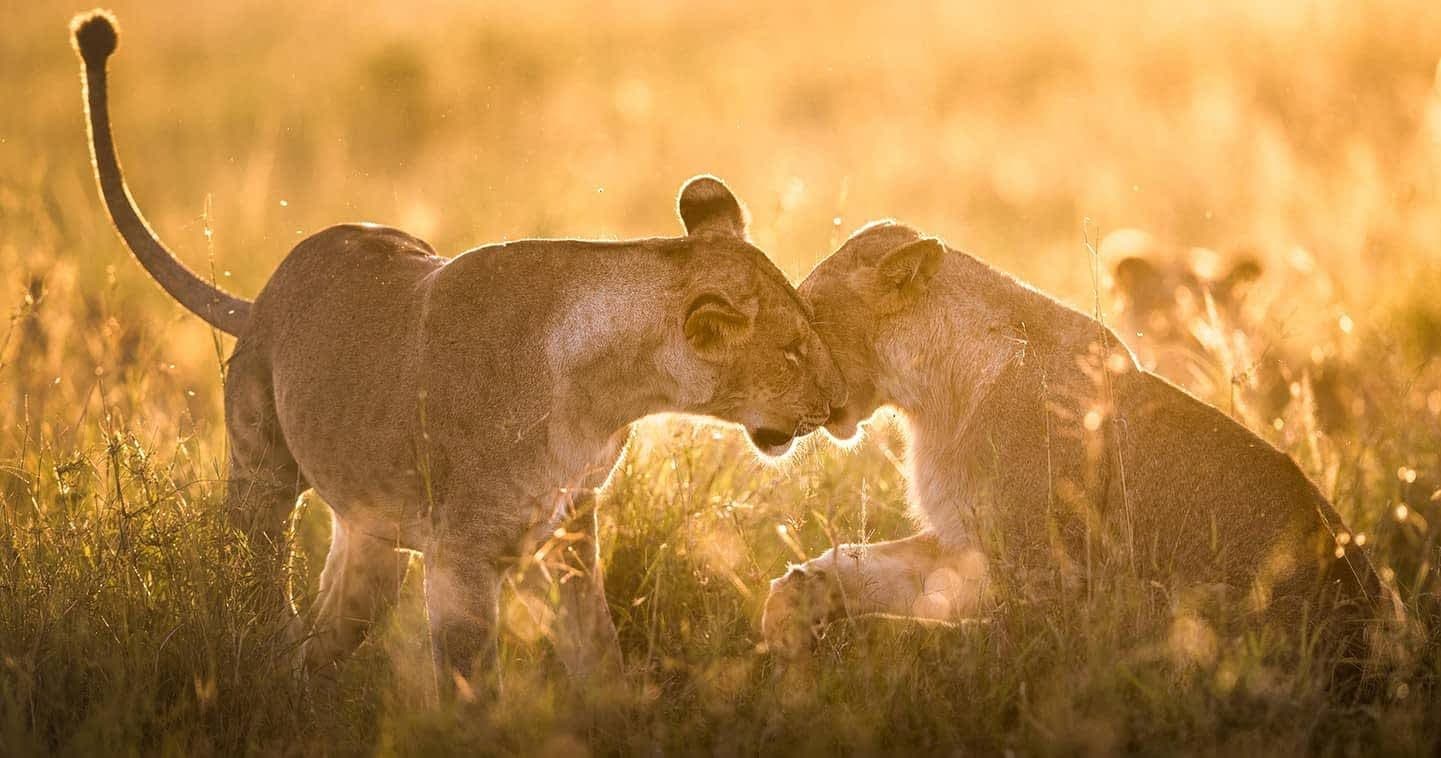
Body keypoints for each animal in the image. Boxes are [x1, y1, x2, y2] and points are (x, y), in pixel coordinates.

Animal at [71, 11, 846, 701]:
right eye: (790, 353)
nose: (841, 406)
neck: (608, 396)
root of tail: (260, 297)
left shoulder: (570, 528)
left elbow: (595, 646)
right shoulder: (461, 553)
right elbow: (474, 680)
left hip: (372, 537)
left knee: (328, 628)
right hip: (261, 471)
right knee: (255, 570)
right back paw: (258, 654)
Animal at [761, 221, 1405, 689]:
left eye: (808, 315)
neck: (933, 398)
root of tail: (1377, 647)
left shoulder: (1054, 586)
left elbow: (967, 645)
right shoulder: (966, 542)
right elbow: (870, 566)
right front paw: (792, 604)